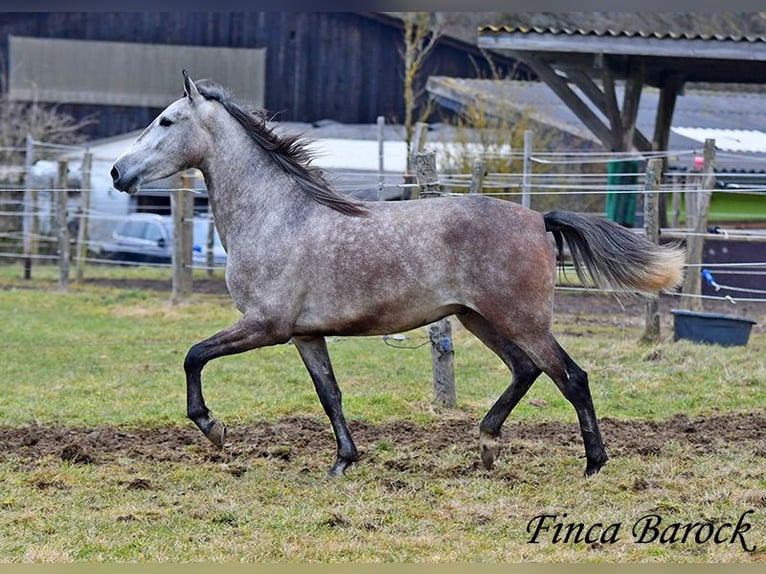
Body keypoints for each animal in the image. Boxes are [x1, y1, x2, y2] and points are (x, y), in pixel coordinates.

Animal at [111, 71, 688, 476]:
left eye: (166, 121)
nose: (118, 172)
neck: (276, 215)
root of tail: (537, 218)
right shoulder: (304, 334)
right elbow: (330, 394)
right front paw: (343, 461)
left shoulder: (265, 326)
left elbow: (194, 356)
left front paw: (214, 429)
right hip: (480, 319)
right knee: (526, 370)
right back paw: (486, 445)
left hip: (521, 319)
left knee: (570, 376)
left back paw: (592, 463)